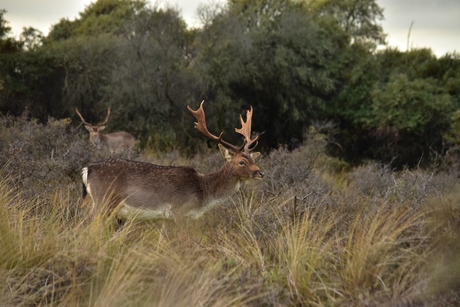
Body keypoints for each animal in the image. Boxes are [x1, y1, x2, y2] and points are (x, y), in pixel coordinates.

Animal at [81, 101, 264, 221]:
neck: (203, 192)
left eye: (252, 158)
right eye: (241, 161)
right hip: (104, 201)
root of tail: (87, 170)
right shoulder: (179, 210)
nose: (260, 172)